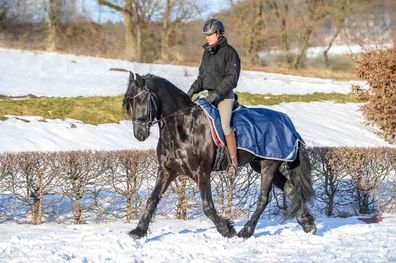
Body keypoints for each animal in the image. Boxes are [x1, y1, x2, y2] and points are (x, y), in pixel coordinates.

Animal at [123, 71, 316, 239]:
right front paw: (138, 231)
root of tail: (288, 124)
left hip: (269, 165)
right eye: (129, 103)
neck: (182, 126)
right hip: (262, 165)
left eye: (142, 98)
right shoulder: (166, 171)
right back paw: (308, 224)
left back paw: (246, 231)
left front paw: (226, 229)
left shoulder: (201, 173)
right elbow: (152, 199)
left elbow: (207, 206)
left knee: (264, 198)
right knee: (291, 189)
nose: (139, 134)